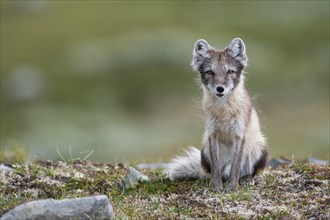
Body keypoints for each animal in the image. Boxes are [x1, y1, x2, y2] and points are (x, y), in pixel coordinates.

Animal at [165, 37, 268, 191]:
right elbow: (215, 167)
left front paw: (232, 187)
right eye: (210, 72)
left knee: (249, 171)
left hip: (259, 148)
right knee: (210, 171)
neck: (223, 111)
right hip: (204, 150)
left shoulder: (239, 135)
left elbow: (235, 167)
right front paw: (217, 187)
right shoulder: (212, 134)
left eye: (230, 71)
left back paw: (249, 179)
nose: (220, 89)